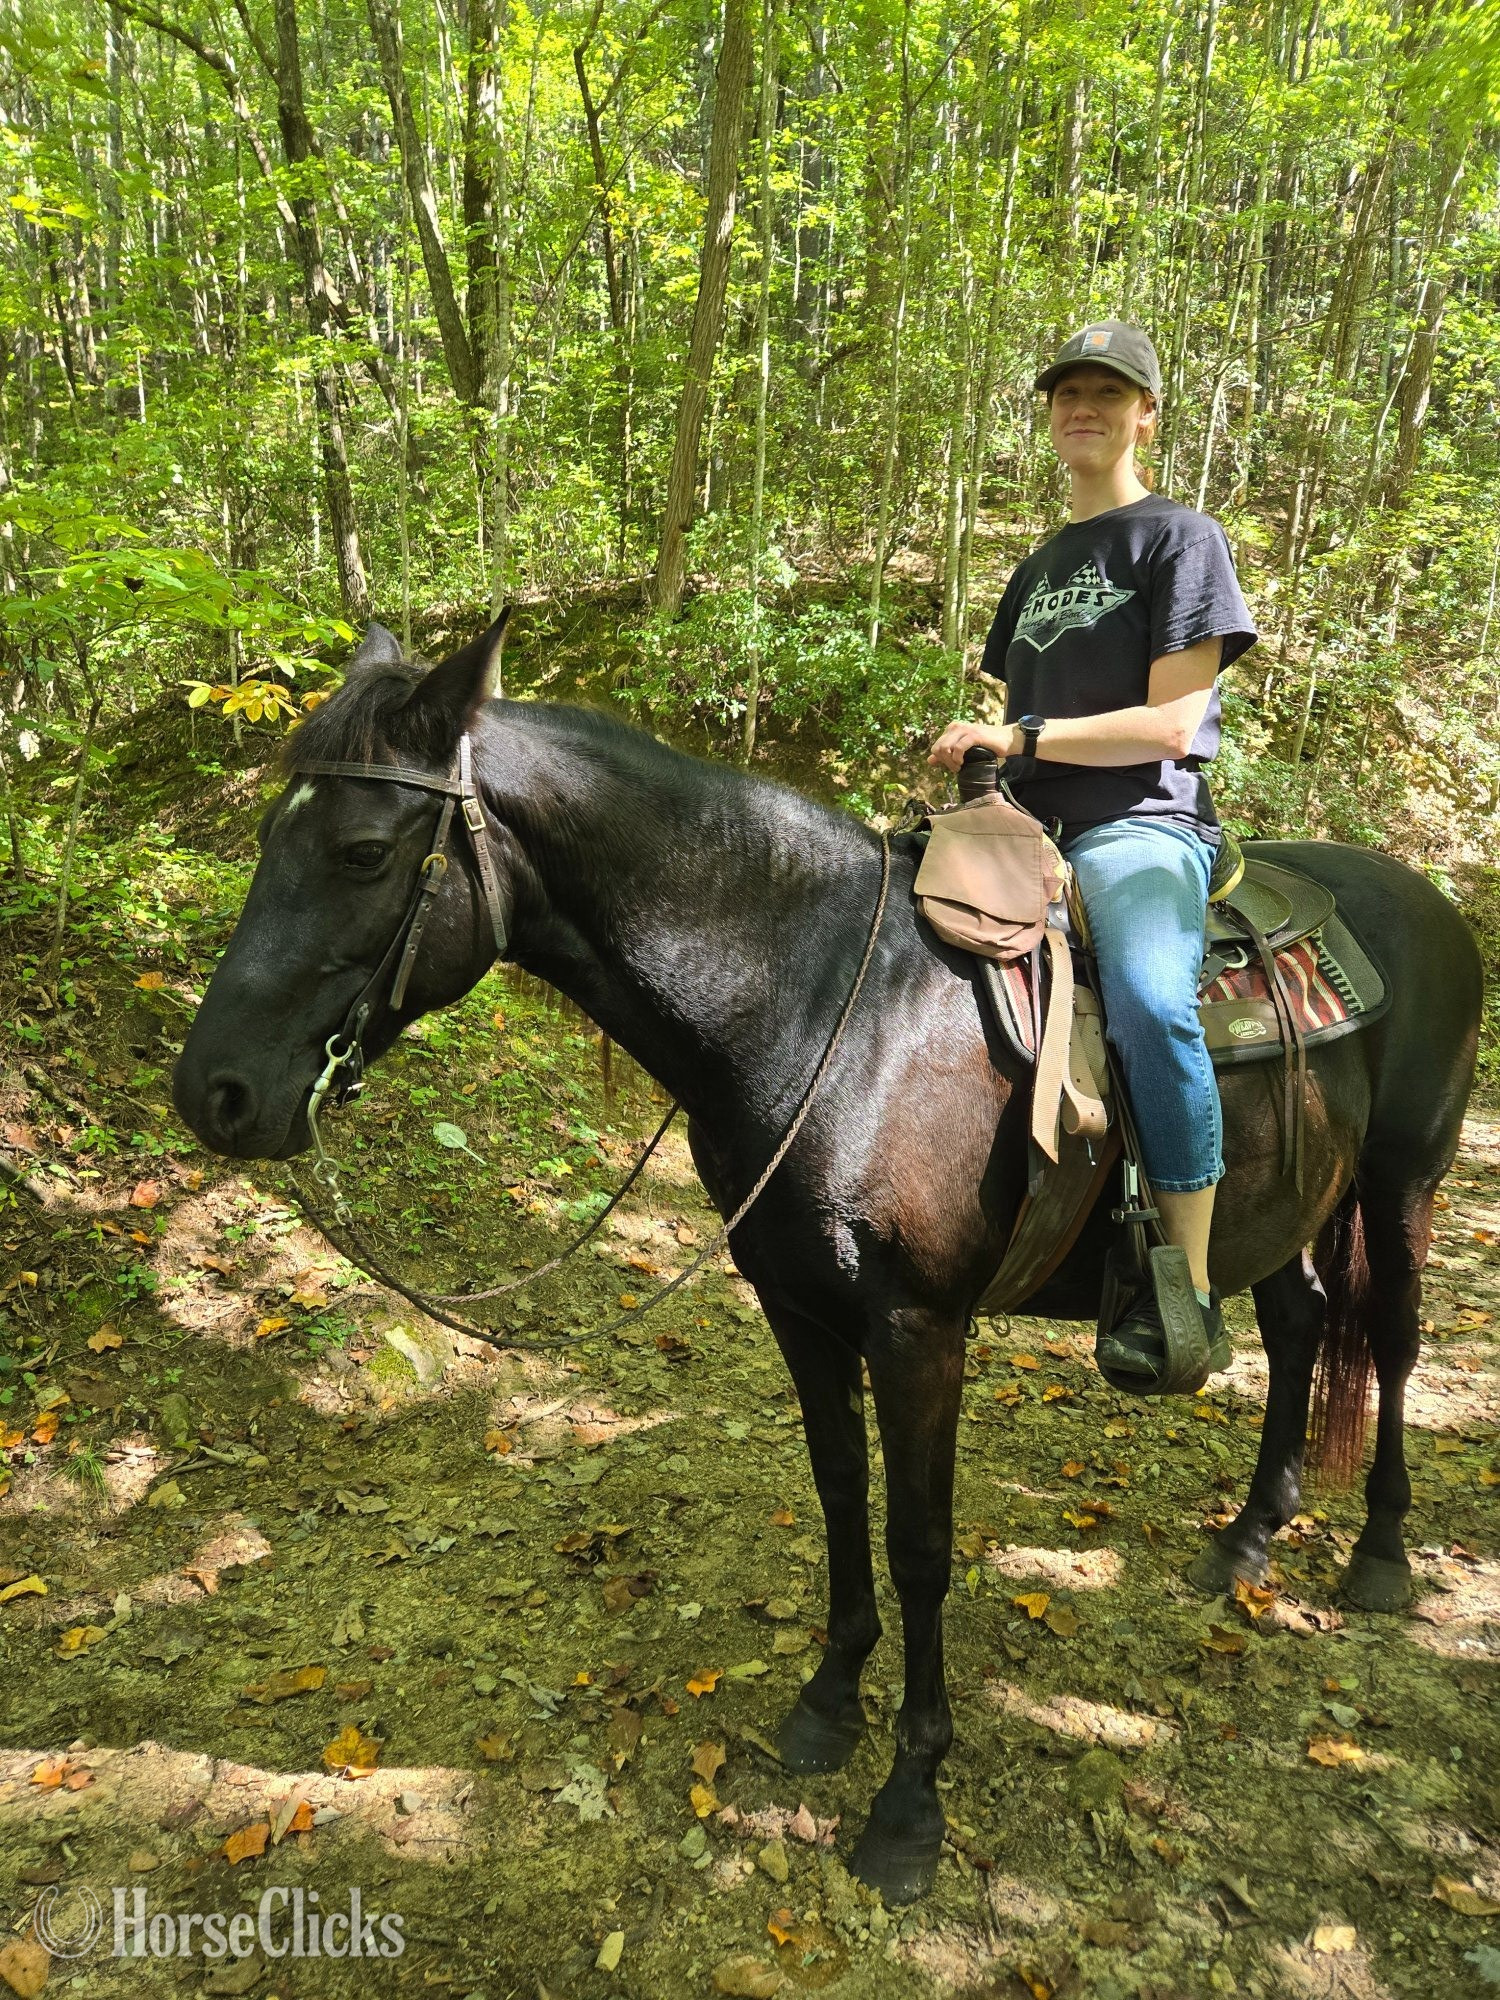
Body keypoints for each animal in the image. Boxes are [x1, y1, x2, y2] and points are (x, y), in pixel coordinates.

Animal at [172, 620, 1483, 1904]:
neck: (824, 1013)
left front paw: (910, 1798)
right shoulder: (798, 1305)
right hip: (1294, 1204)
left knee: (1394, 1340)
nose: (212, 1092)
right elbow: (841, 1491)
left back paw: (1378, 1554)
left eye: (360, 851)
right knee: (1303, 1324)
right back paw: (1251, 1531)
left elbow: (920, 1541)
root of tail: (1426, 900)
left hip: (1400, 1185)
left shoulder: (919, 1329)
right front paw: (827, 1700)